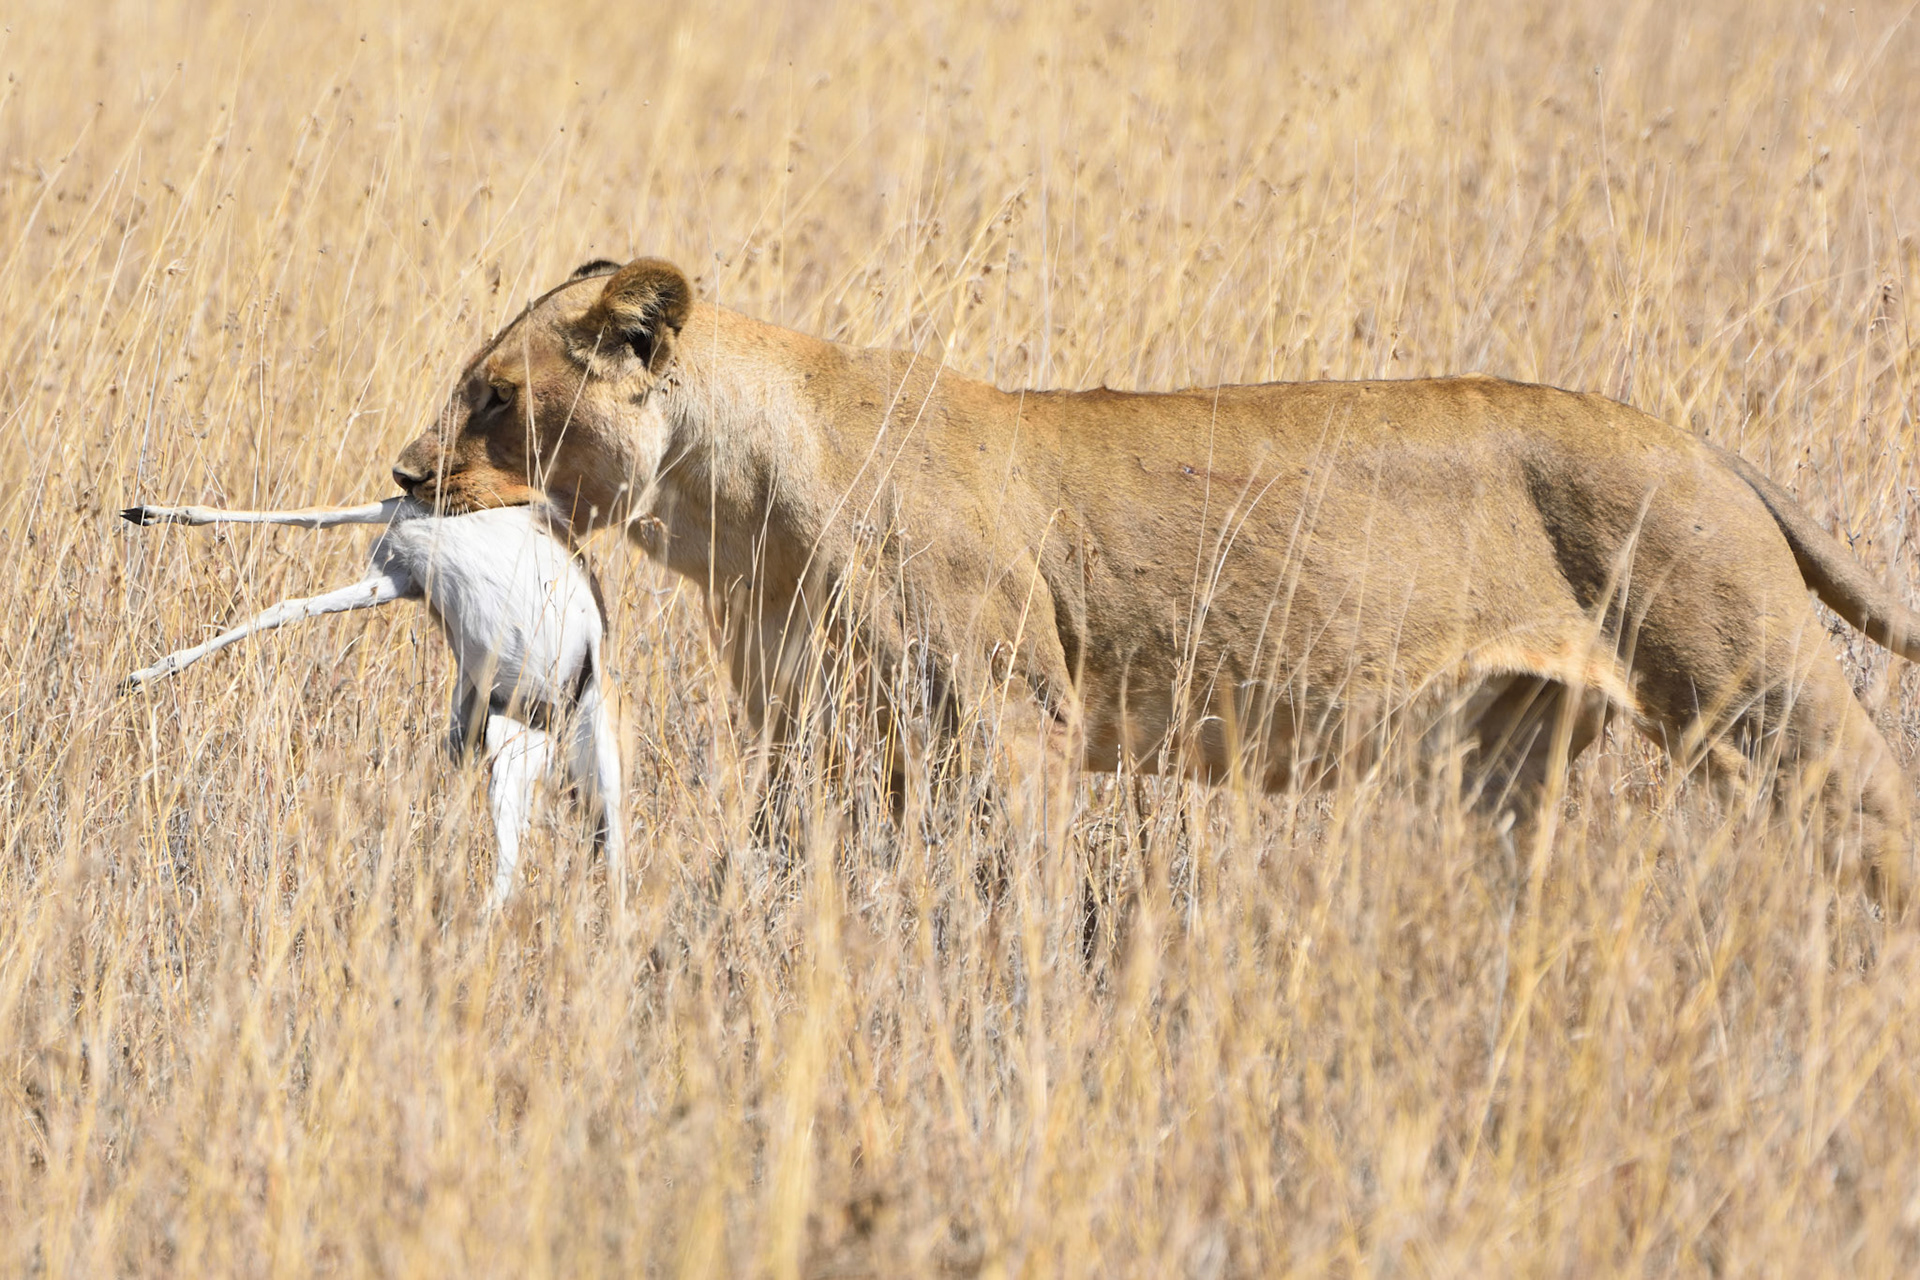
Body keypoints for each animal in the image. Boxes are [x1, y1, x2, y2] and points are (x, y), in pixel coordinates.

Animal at [392, 257, 1920, 899]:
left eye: (493, 399)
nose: (404, 476)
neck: (733, 510)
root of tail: (1704, 446)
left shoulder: (1018, 720)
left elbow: (1021, 891)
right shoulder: (817, 735)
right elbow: (782, 864)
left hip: (1761, 695)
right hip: (1507, 769)